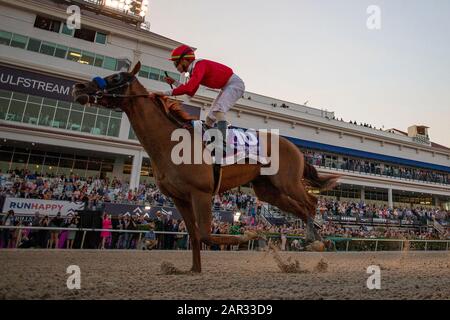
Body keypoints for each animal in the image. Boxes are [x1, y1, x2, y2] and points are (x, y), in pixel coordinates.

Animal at [72, 62, 338, 272]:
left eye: (116, 78)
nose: (79, 88)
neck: (170, 142)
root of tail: (296, 147)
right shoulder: (179, 198)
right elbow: (193, 235)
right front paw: (193, 270)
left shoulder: (201, 193)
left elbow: (206, 234)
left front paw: (250, 234)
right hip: (267, 190)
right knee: (299, 208)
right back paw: (314, 239)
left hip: (287, 182)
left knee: (311, 202)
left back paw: (315, 239)